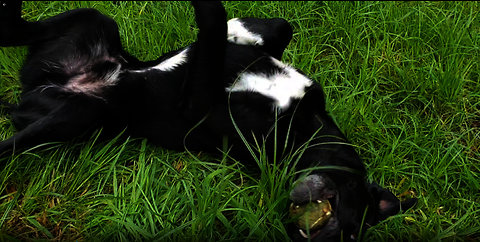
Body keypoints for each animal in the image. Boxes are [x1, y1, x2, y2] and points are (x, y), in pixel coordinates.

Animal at [0, 0, 414, 241]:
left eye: (348, 231)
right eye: (350, 203)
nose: (306, 228)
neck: (305, 127)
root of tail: (27, 93)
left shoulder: (196, 105)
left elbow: (213, 26)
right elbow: (269, 27)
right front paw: (236, 33)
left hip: (80, 115)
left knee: (10, 143)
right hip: (94, 21)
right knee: (16, 30)